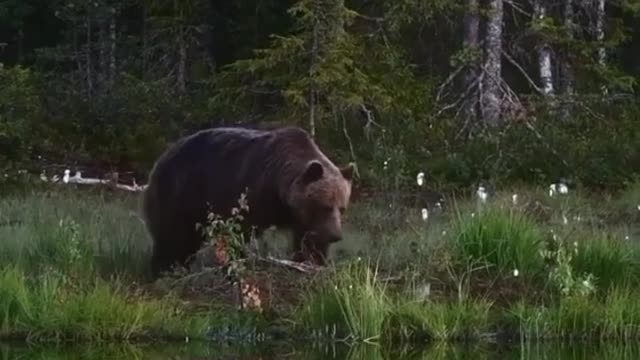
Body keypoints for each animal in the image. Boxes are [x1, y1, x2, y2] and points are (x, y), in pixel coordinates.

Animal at [141, 126, 356, 278]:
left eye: (342, 208)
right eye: (325, 206)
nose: (336, 235)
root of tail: (161, 157)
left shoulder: (301, 218)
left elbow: (310, 242)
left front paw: (313, 262)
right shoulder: (249, 192)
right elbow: (238, 231)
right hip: (179, 192)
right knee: (172, 237)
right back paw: (163, 271)